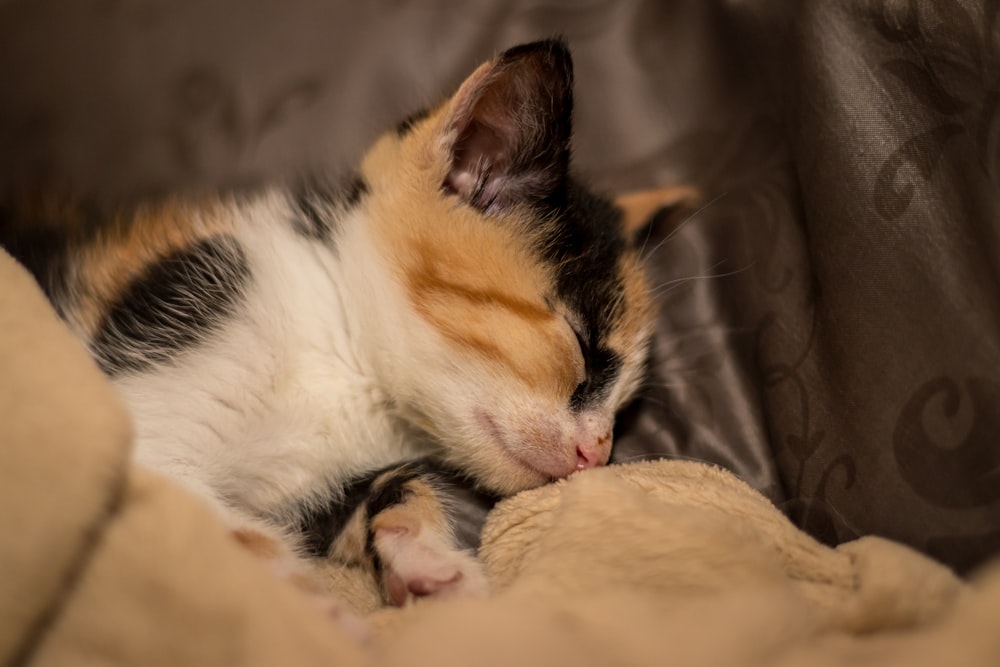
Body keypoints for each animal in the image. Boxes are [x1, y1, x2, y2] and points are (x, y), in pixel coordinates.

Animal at [1, 40, 696, 616]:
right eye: (580, 345)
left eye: (624, 403)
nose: (598, 451)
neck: (341, 358)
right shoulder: (148, 418)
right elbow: (233, 533)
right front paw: (317, 615)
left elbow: (392, 488)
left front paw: (433, 566)